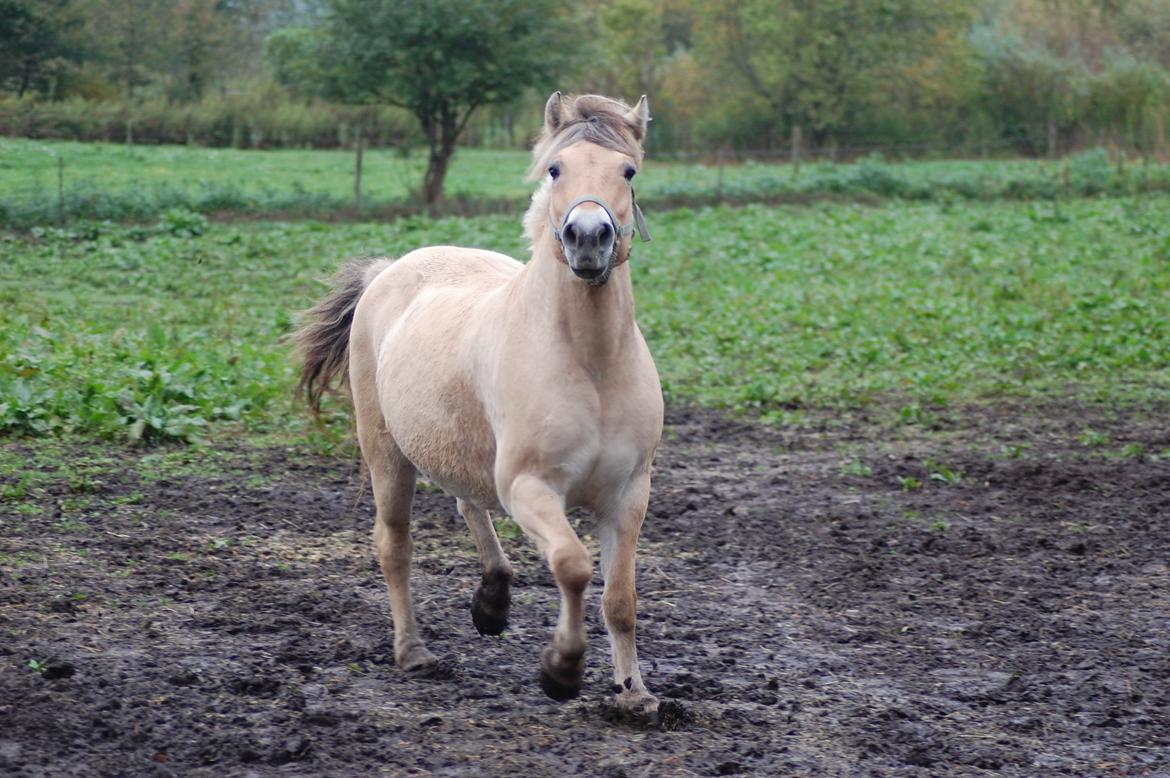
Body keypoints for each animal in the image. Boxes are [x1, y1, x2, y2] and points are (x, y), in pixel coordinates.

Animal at [297, 92, 664, 715]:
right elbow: (572, 565)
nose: (588, 238)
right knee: (395, 545)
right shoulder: (529, 486)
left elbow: (620, 599)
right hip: (386, 454)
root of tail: (387, 271)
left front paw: (634, 694)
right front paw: (561, 671)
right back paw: (415, 653)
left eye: (629, 172)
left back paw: (492, 600)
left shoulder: (628, 493)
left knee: (468, 501)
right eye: (555, 169)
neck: (590, 364)